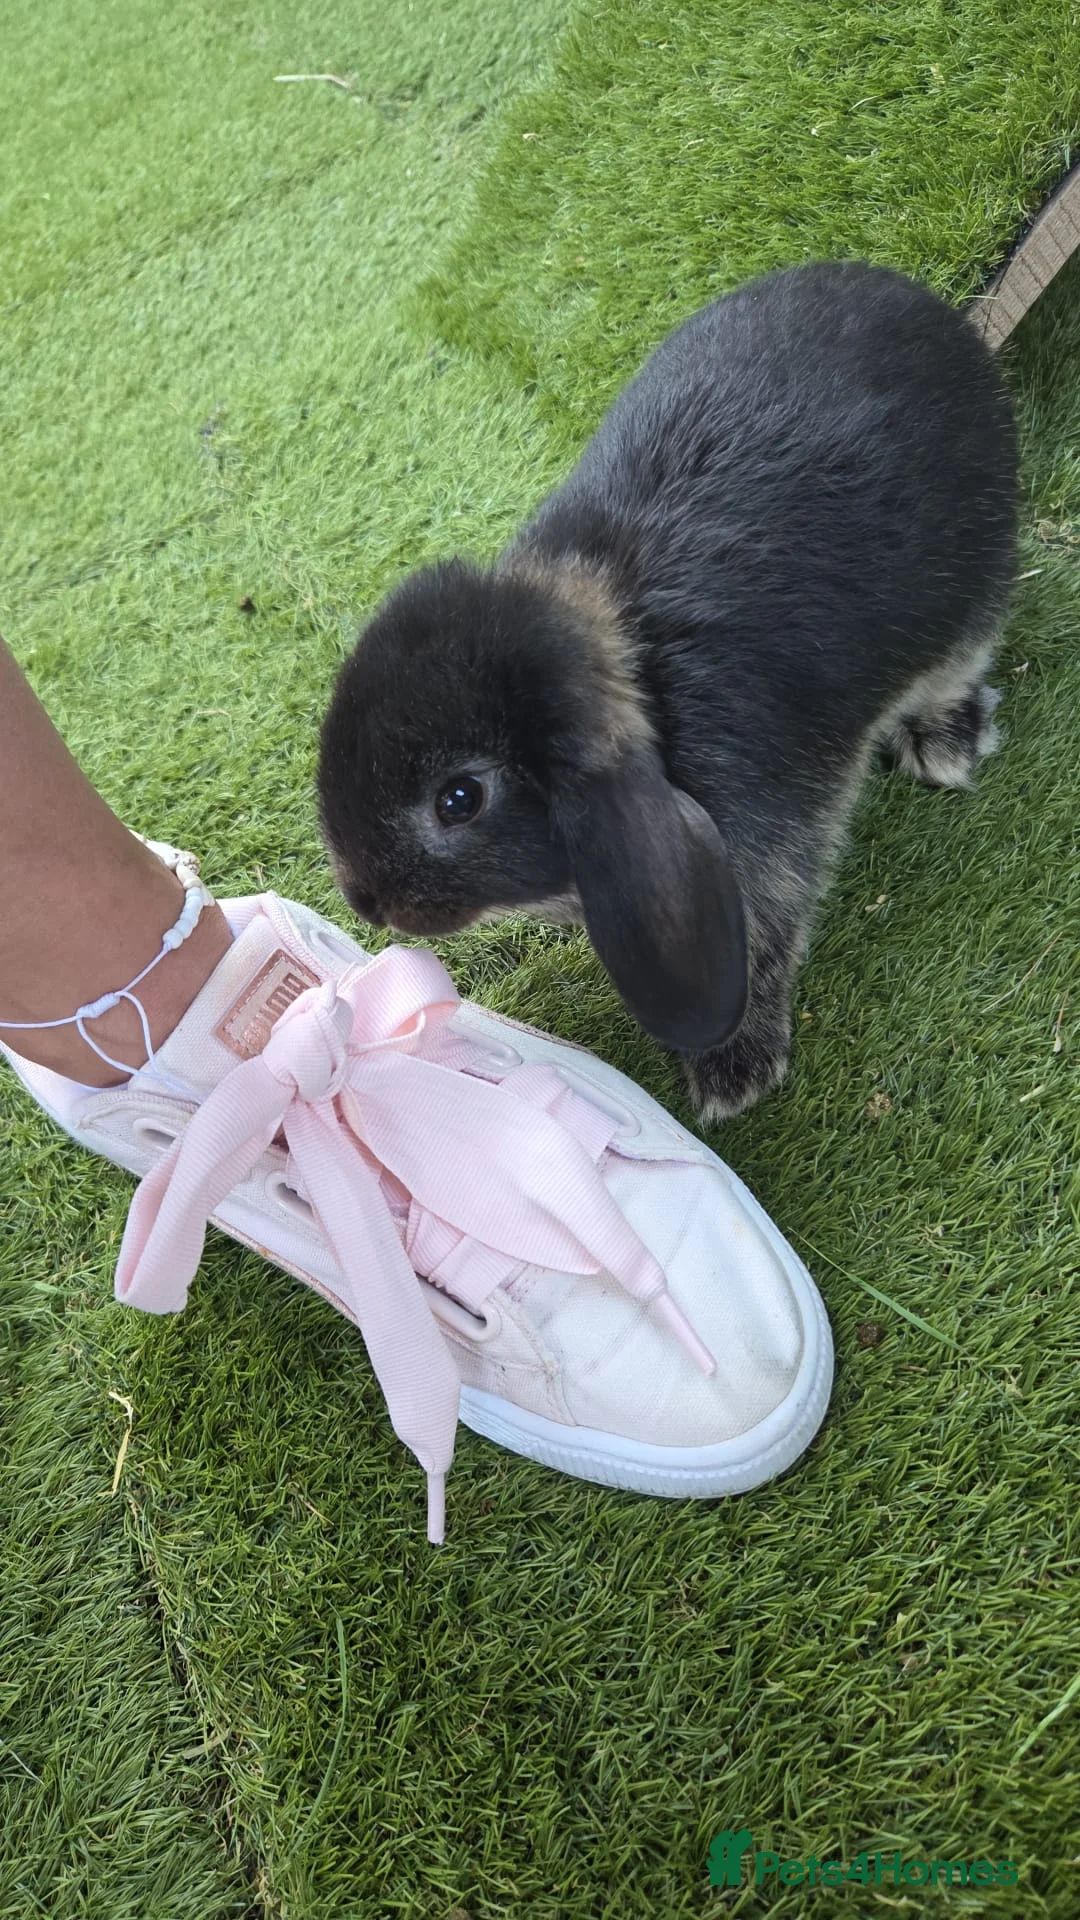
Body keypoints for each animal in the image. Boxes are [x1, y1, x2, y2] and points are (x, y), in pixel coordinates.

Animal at [318, 261, 1018, 1119]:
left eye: (460, 799)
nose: (364, 900)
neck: (642, 672)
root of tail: (932, 313)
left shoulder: (764, 857)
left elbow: (765, 948)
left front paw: (734, 1078)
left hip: (972, 597)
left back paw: (947, 745)